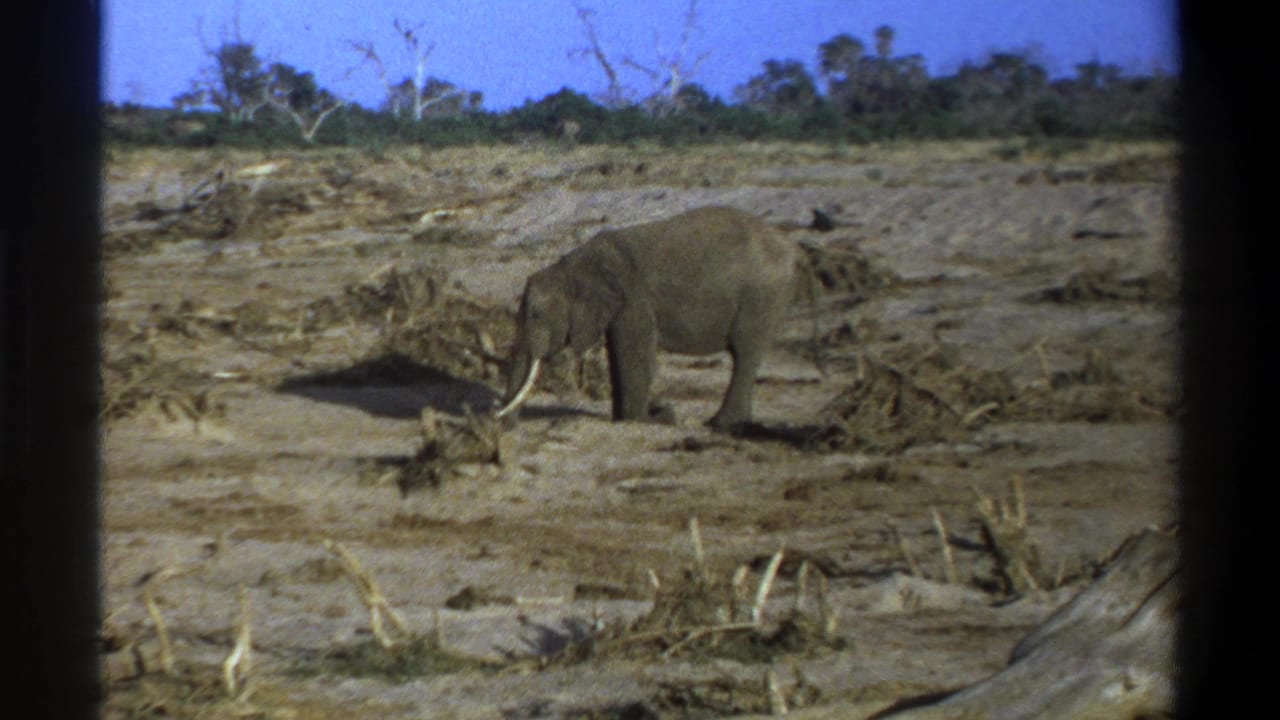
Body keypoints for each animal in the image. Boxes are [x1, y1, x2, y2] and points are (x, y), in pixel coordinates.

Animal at [495, 205, 797, 432]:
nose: (506, 426)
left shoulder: (633, 299)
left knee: (745, 354)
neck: (572, 266)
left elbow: (636, 357)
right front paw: (628, 418)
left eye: (536, 315)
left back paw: (719, 425)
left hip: (760, 296)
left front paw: (651, 418)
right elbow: (617, 356)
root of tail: (788, 245)